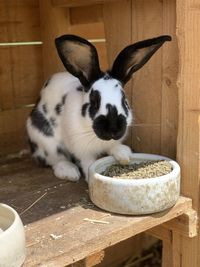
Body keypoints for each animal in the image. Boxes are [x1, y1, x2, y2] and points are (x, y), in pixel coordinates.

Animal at [25, 34, 171, 182]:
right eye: (94, 102)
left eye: (124, 101)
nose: (113, 130)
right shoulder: (82, 150)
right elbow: (87, 163)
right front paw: (90, 177)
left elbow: (113, 147)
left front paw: (124, 155)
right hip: (45, 141)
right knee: (55, 159)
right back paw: (69, 172)